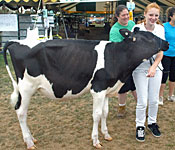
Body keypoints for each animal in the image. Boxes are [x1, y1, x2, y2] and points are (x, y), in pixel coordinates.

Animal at [3, 27, 169, 149]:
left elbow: (105, 112)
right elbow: (96, 114)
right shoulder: (98, 89)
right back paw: (29, 142)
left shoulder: (106, 89)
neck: (116, 57)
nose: (166, 43)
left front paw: (106, 134)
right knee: (21, 112)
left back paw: (32, 138)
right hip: (26, 87)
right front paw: (96, 140)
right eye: (149, 37)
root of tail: (15, 41)